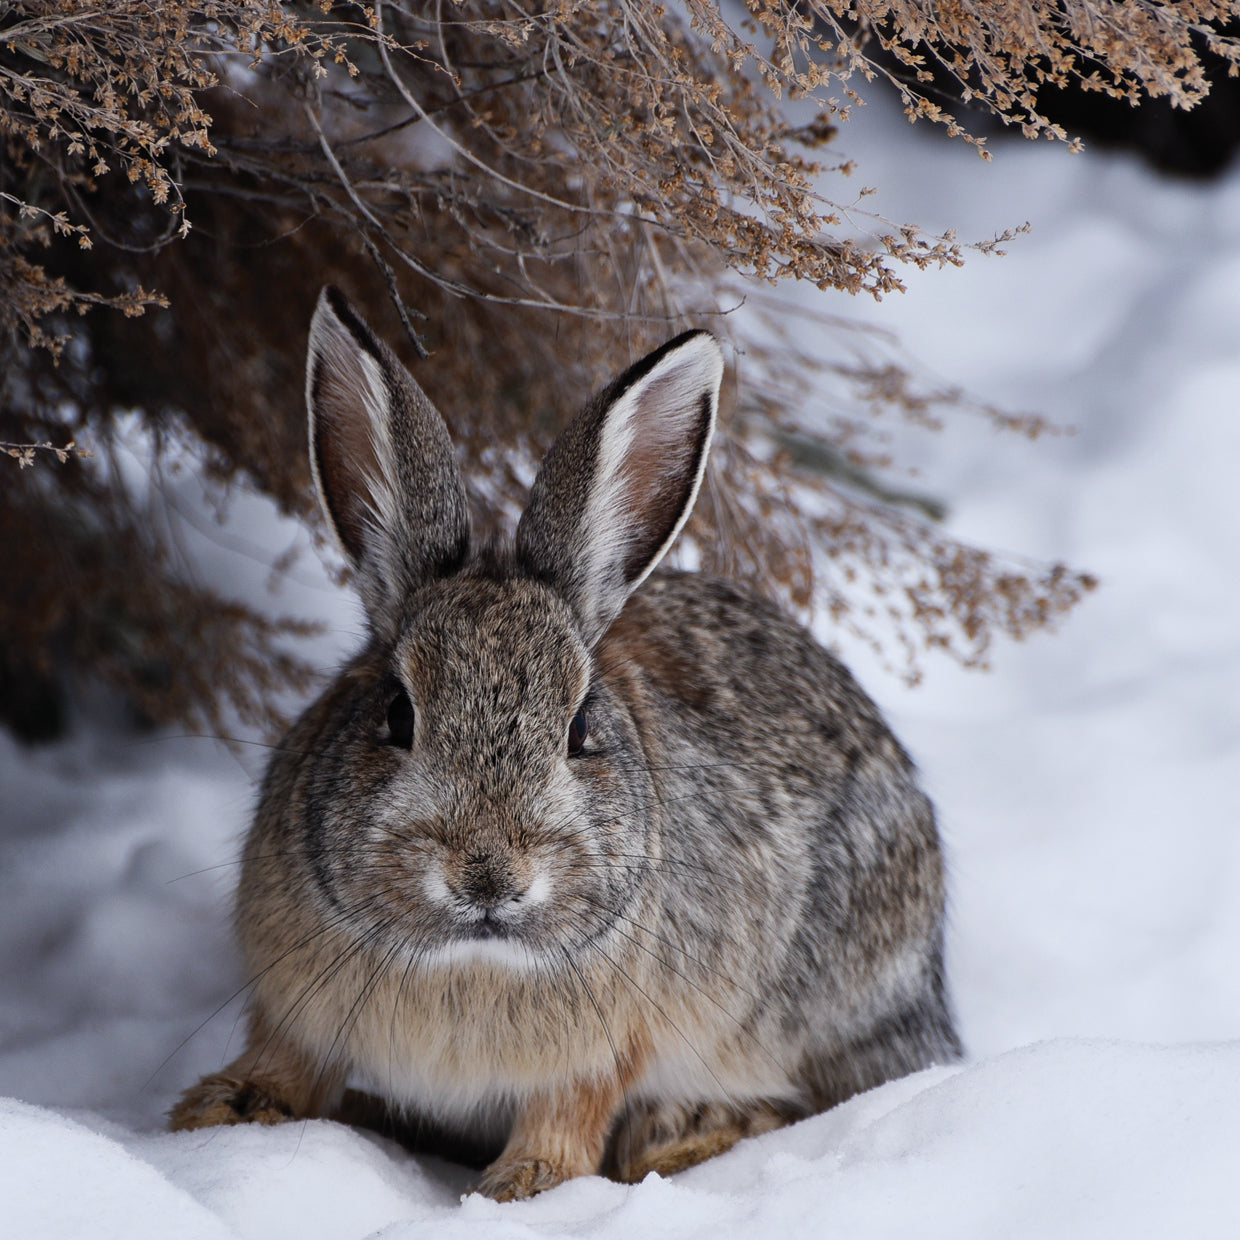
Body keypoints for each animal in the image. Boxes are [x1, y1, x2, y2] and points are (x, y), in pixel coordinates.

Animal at [169, 286, 962, 1201]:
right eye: (397, 714)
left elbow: (568, 1116)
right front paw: (224, 1110)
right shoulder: (291, 1003)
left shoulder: (602, 1051)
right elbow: (288, 1063)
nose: (488, 876)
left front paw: (521, 1186)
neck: (469, 959)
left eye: (581, 727)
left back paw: (681, 1136)